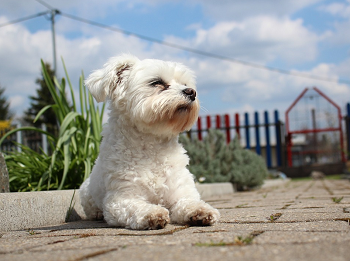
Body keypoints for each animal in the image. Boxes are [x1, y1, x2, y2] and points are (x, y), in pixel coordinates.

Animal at [80, 53, 220, 229]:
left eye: (185, 84)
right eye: (156, 82)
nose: (191, 92)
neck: (153, 148)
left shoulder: (180, 191)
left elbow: (188, 202)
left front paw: (200, 210)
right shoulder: (121, 199)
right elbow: (136, 207)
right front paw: (152, 213)